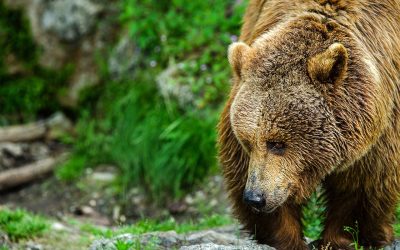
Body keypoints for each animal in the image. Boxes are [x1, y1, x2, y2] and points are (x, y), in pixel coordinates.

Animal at [217, 0, 400, 250]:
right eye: (247, 141)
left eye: (277, 143)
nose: (255, 197)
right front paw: (288, 238)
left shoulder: (382, 123)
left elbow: (363, 183)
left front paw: (343, 237)